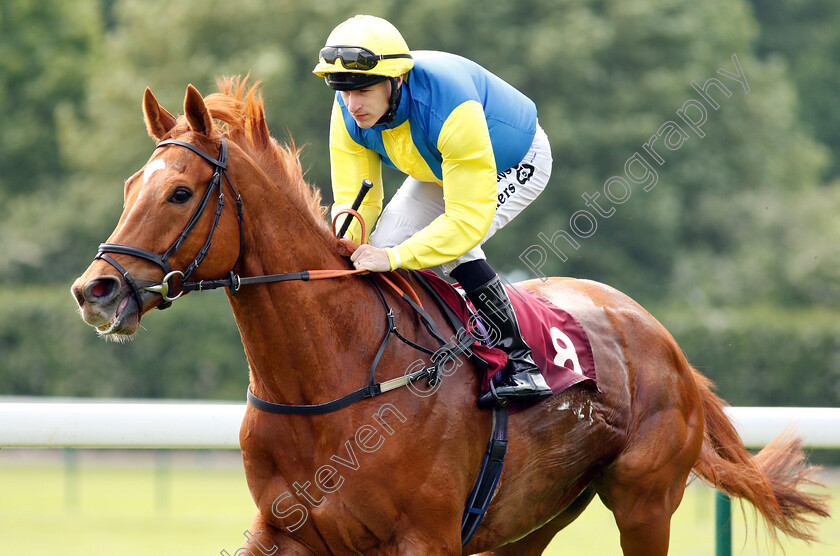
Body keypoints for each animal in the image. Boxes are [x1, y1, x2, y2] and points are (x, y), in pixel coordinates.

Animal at [70, 79, 828, 556]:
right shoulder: (284, 532)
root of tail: (660, 336)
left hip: (644, 504)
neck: (330, 379)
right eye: (132, 187)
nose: (94, 289)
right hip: (531, 521)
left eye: (179, 192)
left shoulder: (424, 539)